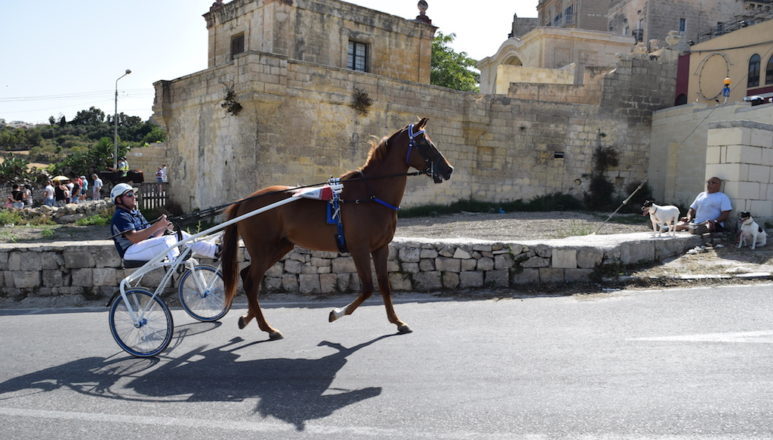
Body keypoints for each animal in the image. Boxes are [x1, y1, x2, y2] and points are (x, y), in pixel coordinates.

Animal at [220, 118, 452, 338]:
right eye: (424, 143)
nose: (449, 169)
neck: (370, 194)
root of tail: (245, 201)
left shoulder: (380, 248)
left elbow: (384, 285)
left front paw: (397, 322)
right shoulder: (359, 248)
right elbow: (368, 288)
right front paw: (336, 313)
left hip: (280, 247)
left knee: (247, 276)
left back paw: (248, 318)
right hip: (263, 249)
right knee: (251, 282)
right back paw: (267, 328)